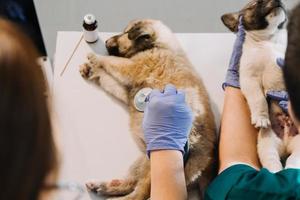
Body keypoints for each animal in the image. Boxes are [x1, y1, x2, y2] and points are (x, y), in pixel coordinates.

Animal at [78, 19, 217, 199]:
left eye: (127, 33)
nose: (107, 42)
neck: (159, 45)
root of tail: (208, 164)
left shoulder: (132, 67)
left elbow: (112, 62)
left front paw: (95, 58)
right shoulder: (128, 92)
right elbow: (107, 78)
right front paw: (92, 70)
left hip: (159, 166)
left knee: (139, 194)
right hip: (144, 160)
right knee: (130, 183)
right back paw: (101, 186)